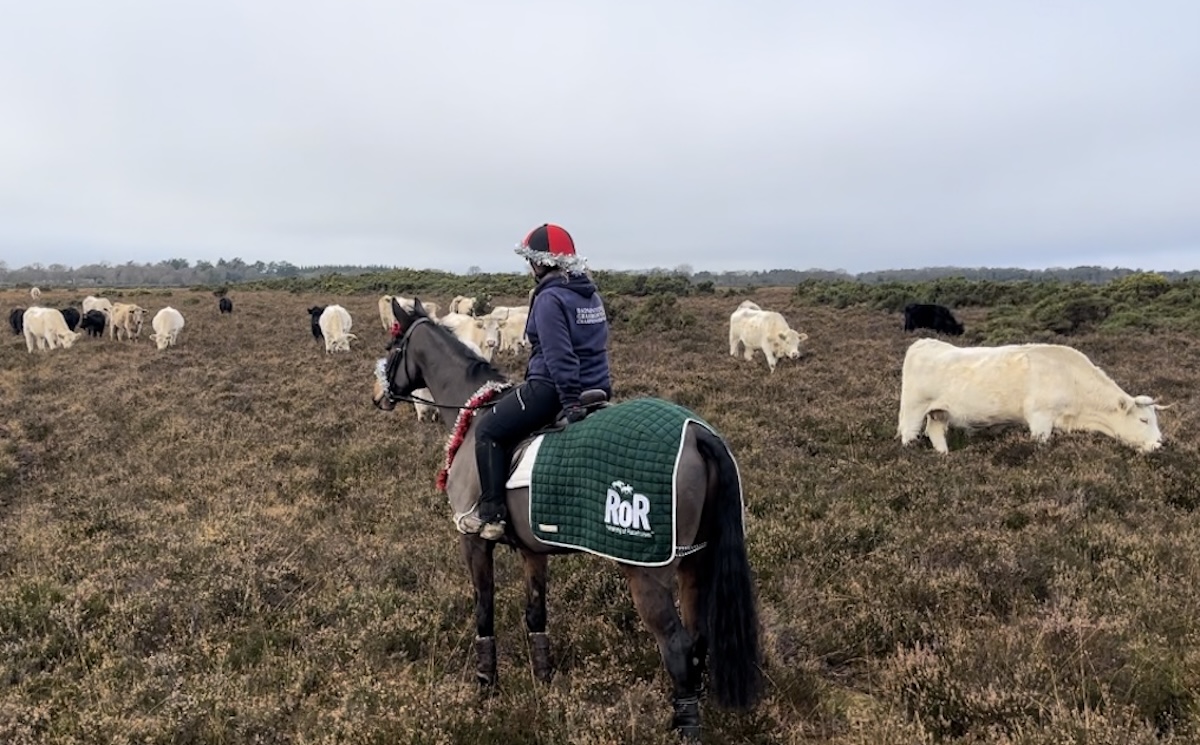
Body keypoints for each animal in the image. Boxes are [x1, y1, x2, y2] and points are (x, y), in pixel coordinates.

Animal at [369, 296, 763, 739]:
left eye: (392, 346)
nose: (377, 394)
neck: (472, 412)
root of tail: (697, 433)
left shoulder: (473, 541)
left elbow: (484, 608)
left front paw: (487, 684)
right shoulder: (532, 551)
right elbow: (536, 613)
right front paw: (543, 679)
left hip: (648, 572)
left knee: (677, 644)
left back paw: (685, 726)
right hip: (695, 560)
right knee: (698, 638)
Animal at [902, 338, 1161, 453]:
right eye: (1143, 419)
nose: (1160, 443)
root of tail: (925, 342)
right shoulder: (1040, 419)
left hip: (939, 412)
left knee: (935, 432)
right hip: (914, 409)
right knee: (909, 433)